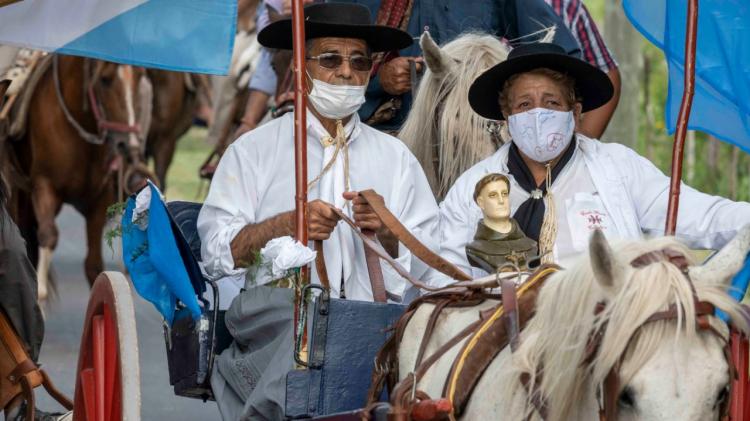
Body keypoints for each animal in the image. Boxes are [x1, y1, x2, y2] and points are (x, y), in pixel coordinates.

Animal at [5, 54, 152, 300]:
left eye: (139, 76)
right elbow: (48, 237)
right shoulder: (44, 187)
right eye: (104, 80)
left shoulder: (98, 201)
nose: (129, 145)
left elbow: (93, 265)